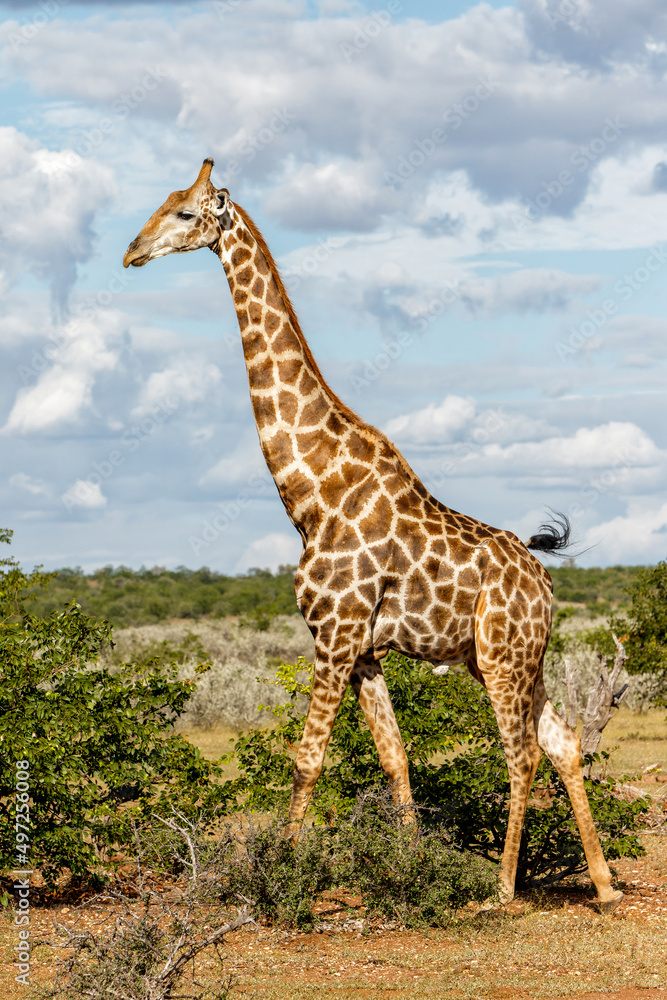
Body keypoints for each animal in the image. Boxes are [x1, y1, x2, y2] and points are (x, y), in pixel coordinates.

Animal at [123, 159, 623, 911]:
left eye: (185, 212)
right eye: (163, 202)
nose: (131, 252)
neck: (309, 491)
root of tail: (545, 583)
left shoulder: (333, 634)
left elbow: (307, 757)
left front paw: (280, 882)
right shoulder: (361, 648)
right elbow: (394, 757)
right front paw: (414, 872)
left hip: (501, 657)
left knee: (523, 752)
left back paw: (502, 888)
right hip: (512, 657)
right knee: (561, 740)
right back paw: (603, 884)